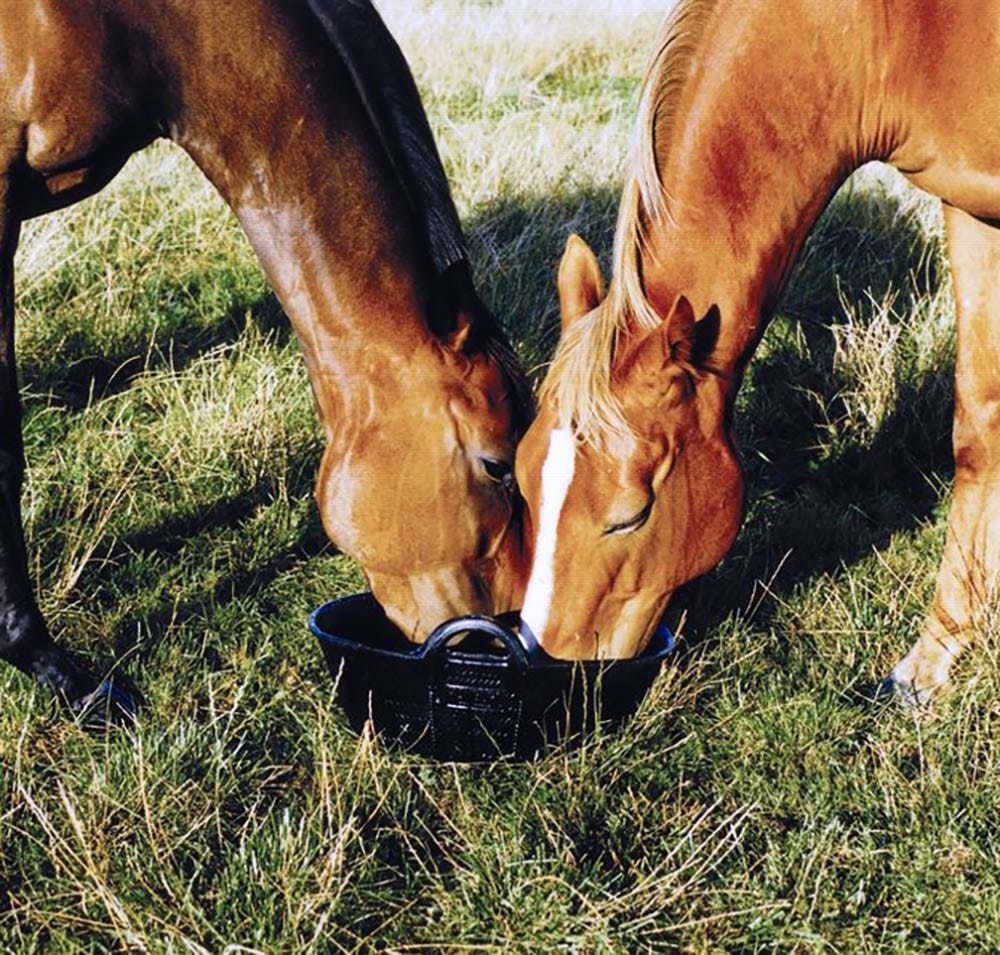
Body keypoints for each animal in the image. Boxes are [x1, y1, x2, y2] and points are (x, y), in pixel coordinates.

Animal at [516, 0, 1000, 704]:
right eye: (523, 480)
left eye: (632, 515)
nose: (548, 664)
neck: (892, 36)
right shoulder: (971, 208)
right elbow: (979, 428)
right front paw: (934, 657)